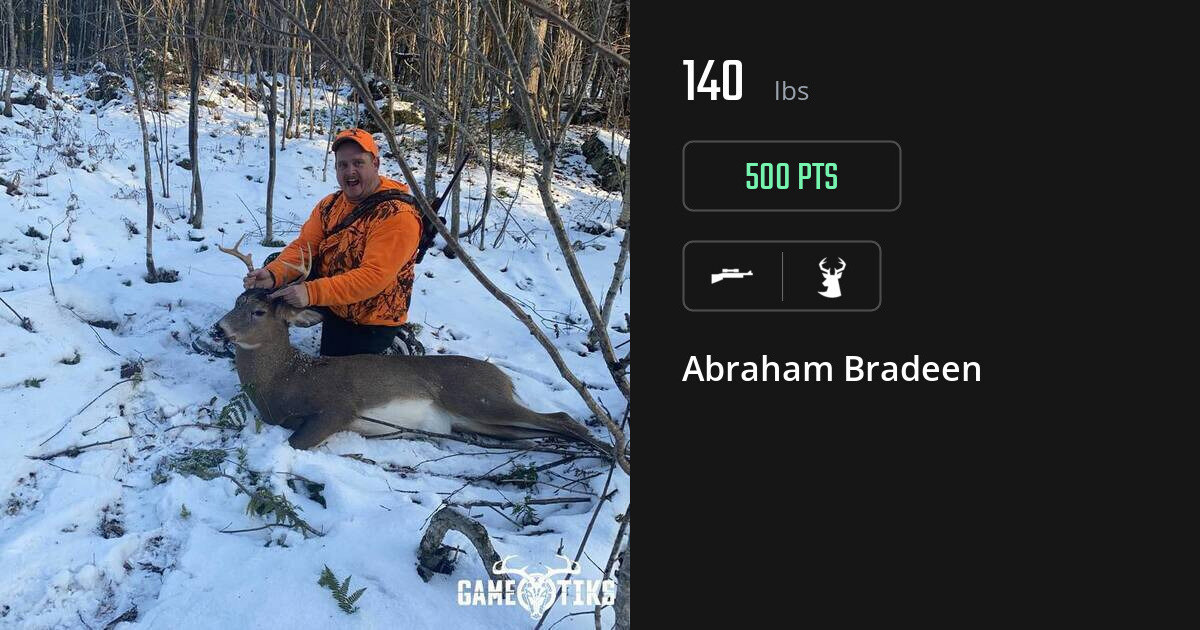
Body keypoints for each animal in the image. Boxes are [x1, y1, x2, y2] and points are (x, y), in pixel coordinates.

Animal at [212, 237, 612, 456]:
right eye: (235, 302)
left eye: (259, 311)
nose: (219, 328)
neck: (286, 381)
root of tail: (503, 376)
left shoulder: (338, 406)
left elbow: (295, 442)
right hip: (482, 420)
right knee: (544, 428)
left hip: (477, 397)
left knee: (561, 418)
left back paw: (608, 452)